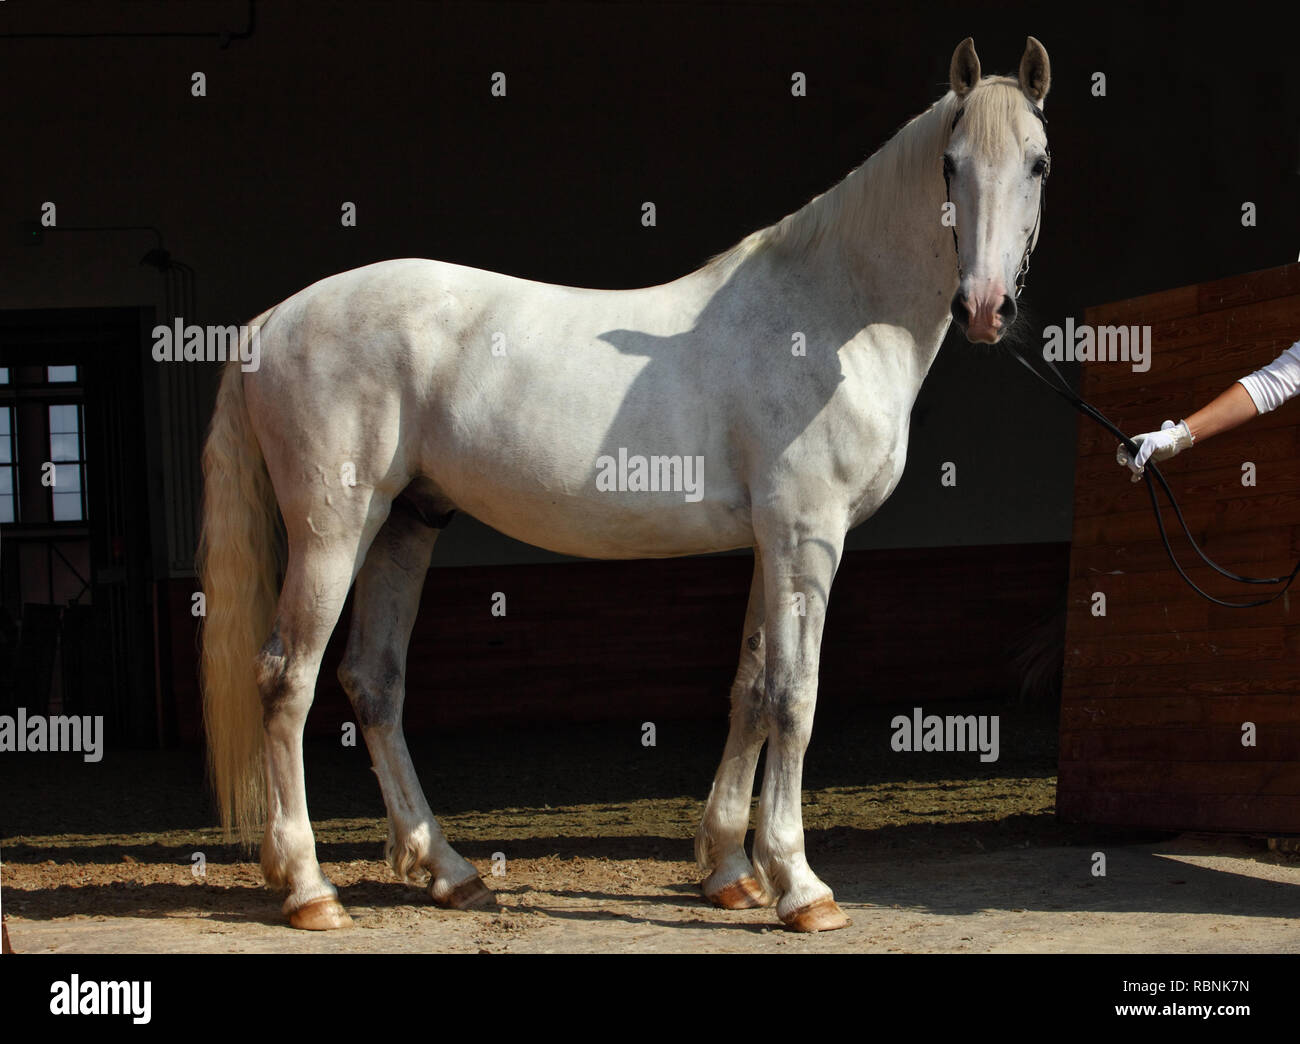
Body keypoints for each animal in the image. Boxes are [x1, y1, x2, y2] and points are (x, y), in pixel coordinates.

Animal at [202, 36, 1055, 936]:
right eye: (952, 165)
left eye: (1037, 163)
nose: (986, 308)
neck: (827, 316)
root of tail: (272, 319)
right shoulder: (807, 534)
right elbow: (795, 697)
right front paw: (800, 885)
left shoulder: (772, 541)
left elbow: (751, 690)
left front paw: (731, 871)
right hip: (335, 529)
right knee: (287, 680)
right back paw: (308, 888)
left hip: (406, 521)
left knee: (373, 684)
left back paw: (451, 872)